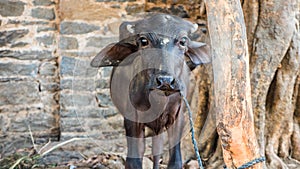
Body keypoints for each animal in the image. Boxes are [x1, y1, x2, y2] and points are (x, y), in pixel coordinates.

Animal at [90, 13, 210, 168]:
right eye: (143, 40)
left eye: (183, 41)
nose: (165, 80)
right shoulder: (132, 119)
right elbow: (134, 160)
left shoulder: (177, 117)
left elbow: (175, 160)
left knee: (157, 150)